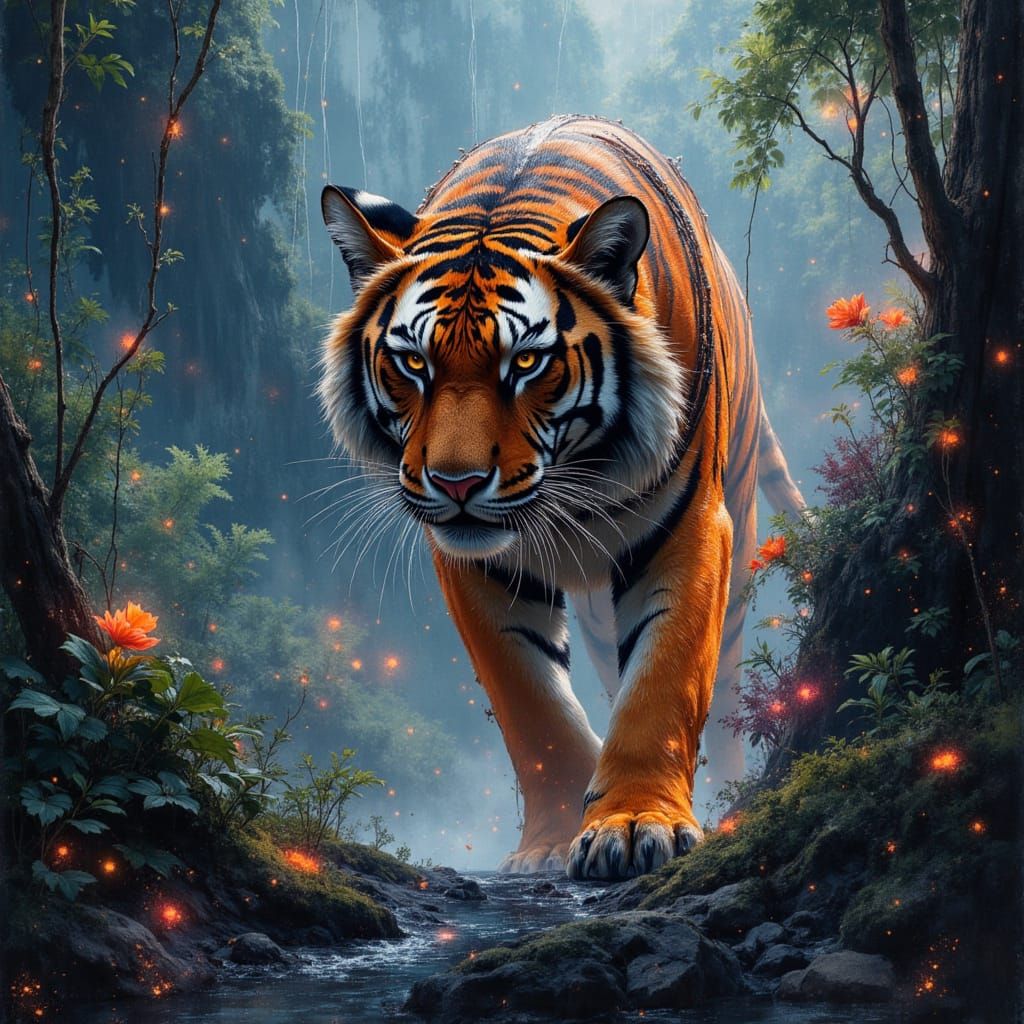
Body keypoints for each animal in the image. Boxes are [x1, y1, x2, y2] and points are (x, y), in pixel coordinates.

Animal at [318, 115, 803, 880]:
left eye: (525, 363)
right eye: (413, 363)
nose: (455, 484)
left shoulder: (692, 529)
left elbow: (662, 682)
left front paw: (635, 825)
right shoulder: (474, 563)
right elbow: (533, 708)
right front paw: (550, 842)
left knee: (723, 681)